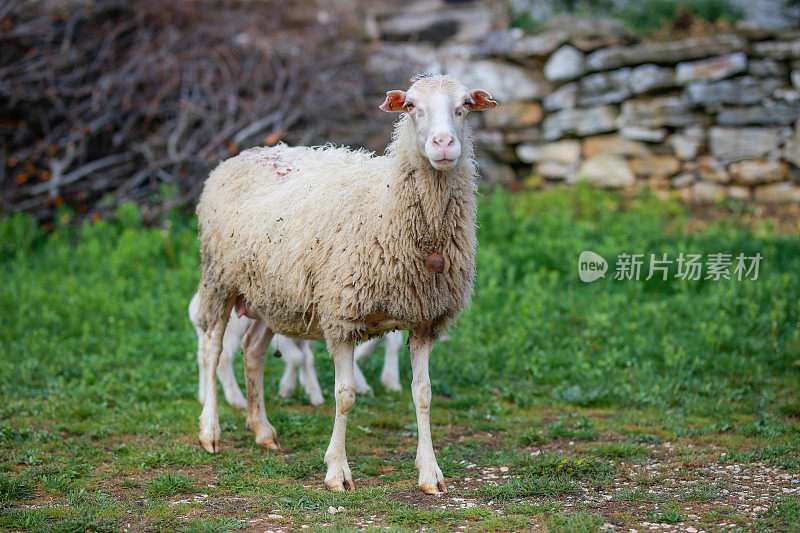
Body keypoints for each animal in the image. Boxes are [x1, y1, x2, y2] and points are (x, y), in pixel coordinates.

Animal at [194, 72, 494, 492]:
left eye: (464, 106)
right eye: (412, 107)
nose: (444, 144)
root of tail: (243, 154)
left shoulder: (424, 319)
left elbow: (423, 394)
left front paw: (430, 473)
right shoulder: (341, 315)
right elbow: (345, 396)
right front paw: (337, 471)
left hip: (270, 294)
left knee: (252, 351)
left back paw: (262, 429)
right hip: (219, 277)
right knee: (212, 348)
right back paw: (210, 431)